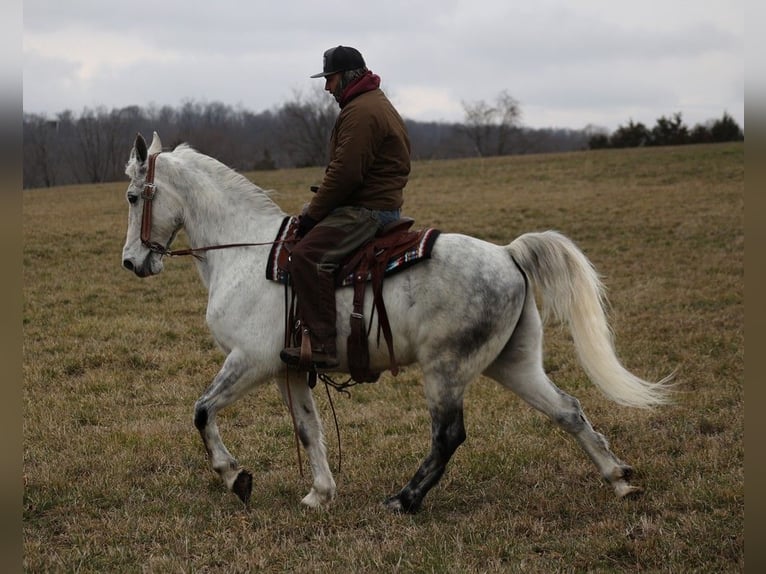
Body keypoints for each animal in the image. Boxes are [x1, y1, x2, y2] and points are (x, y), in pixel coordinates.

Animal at [120, 133, 672, 516]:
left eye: (132, 197)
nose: (131, 262)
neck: (246, 252)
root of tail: (508, 254)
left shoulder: (250, 361)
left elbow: (202, 411)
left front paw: (235, 477)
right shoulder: (288, 369)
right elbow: (308, 430)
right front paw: (319, 494)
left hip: (445, 370)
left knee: (448, 436)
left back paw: (404, 500)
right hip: (513, 364)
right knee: (568, 411)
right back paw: (618, 478)